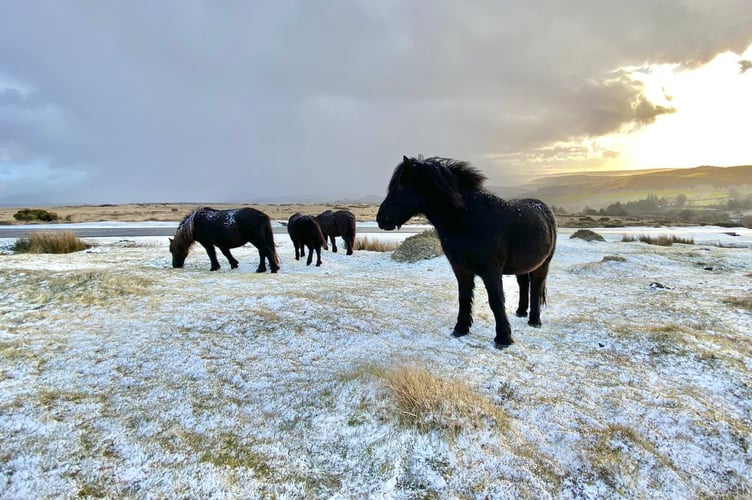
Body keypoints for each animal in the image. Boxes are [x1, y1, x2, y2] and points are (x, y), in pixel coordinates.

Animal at [377, 156, 557, 349]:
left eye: (400, 186)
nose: (380, 218)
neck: (470, 220)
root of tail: (544, 209)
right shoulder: (461, 269)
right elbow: (463, 298)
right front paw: (460, 329)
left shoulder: (491, 271)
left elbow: (496, 301)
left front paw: (503, 338)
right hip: (521, 267)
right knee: (524, 285)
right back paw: (521, 312)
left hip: (543, 265)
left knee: (536, 288)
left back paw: (534, 321)